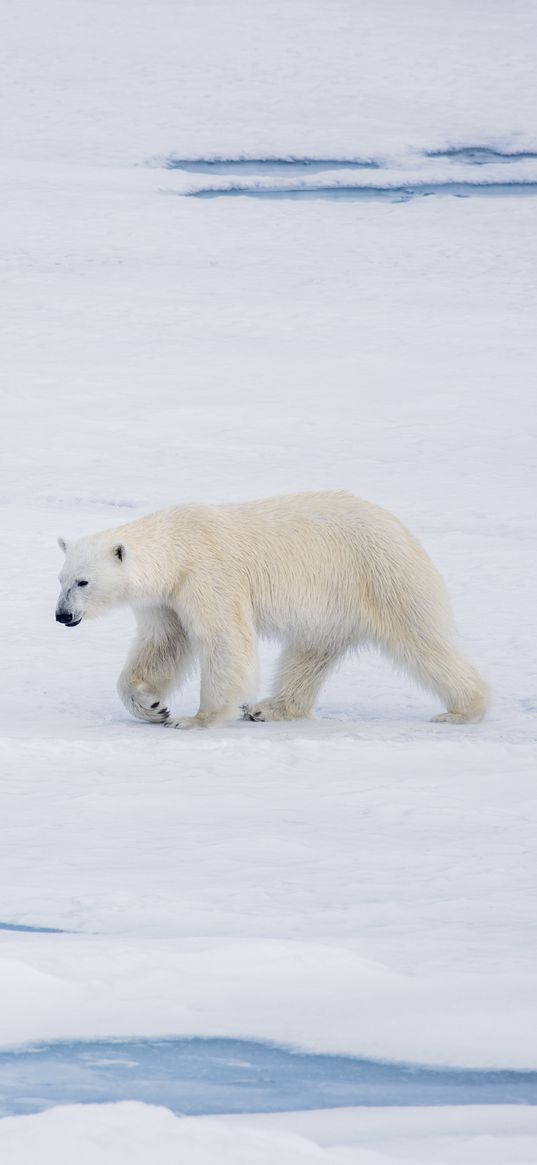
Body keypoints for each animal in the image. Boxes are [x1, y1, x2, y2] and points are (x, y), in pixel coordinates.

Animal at [54, 489, 484, 726]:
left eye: (83, 581)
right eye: (60, 579)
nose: (62, 615)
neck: (178, 548)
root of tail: (400, 527)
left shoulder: (208, 576)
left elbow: (224, 639)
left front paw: (194, 719)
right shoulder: (166, 599)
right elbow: (162, 645)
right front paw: (153, 706)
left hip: (381, 575)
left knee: (423, 639)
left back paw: (463, 709)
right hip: (332, 605)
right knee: (308, 654)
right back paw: (269, 708)